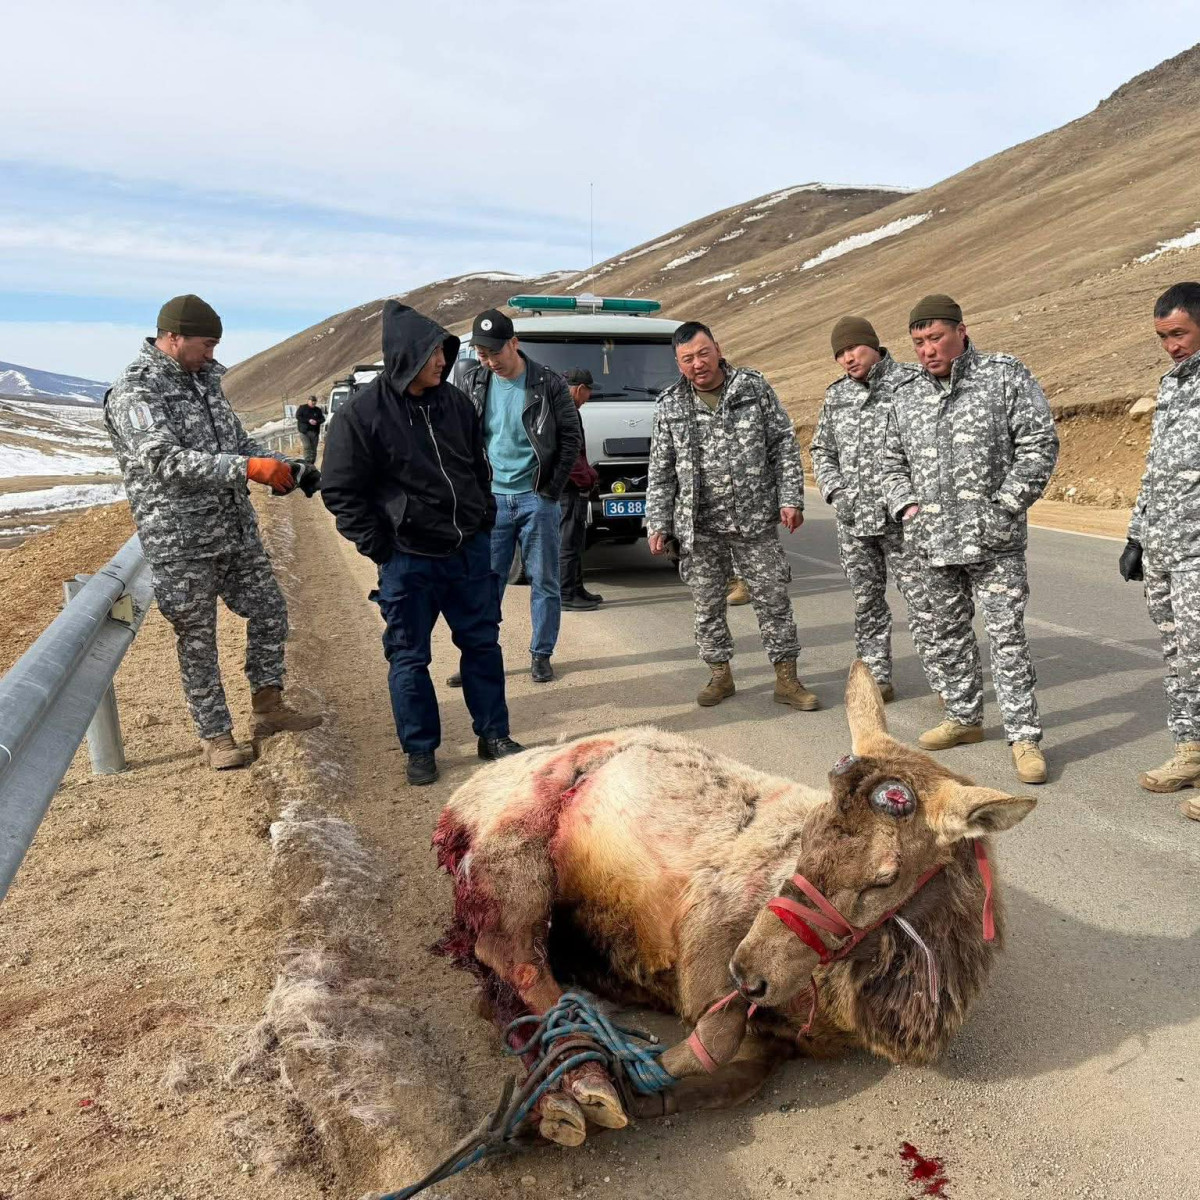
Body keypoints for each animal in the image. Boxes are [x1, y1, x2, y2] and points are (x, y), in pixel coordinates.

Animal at [434, 663, 1034, 1147]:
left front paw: (626, 1095)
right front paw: (604, 1079)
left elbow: (733, 1080)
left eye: (885, 877)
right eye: (808, 833)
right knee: (511, 953)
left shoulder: (780, 1037)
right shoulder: (710, 923)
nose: (749, 973)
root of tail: (463, 797)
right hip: (515, 844)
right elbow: (713, 1035)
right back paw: (577, 1076)